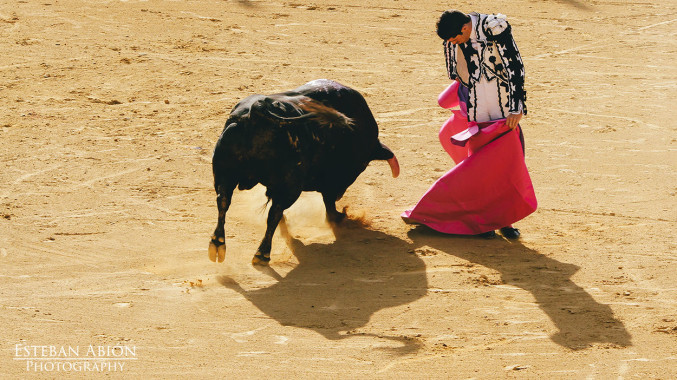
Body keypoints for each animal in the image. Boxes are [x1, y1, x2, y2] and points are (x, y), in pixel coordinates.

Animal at [209, 79, 398, 264]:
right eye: (362, 165)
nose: (340, 195)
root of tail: (258, 110)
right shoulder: (328, 183)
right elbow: (328, 203)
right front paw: (339, 216)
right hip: (290, 187)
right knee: (274, 213)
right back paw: (262, 253)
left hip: (224, 174)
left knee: (223, 201)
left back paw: (218, 243)